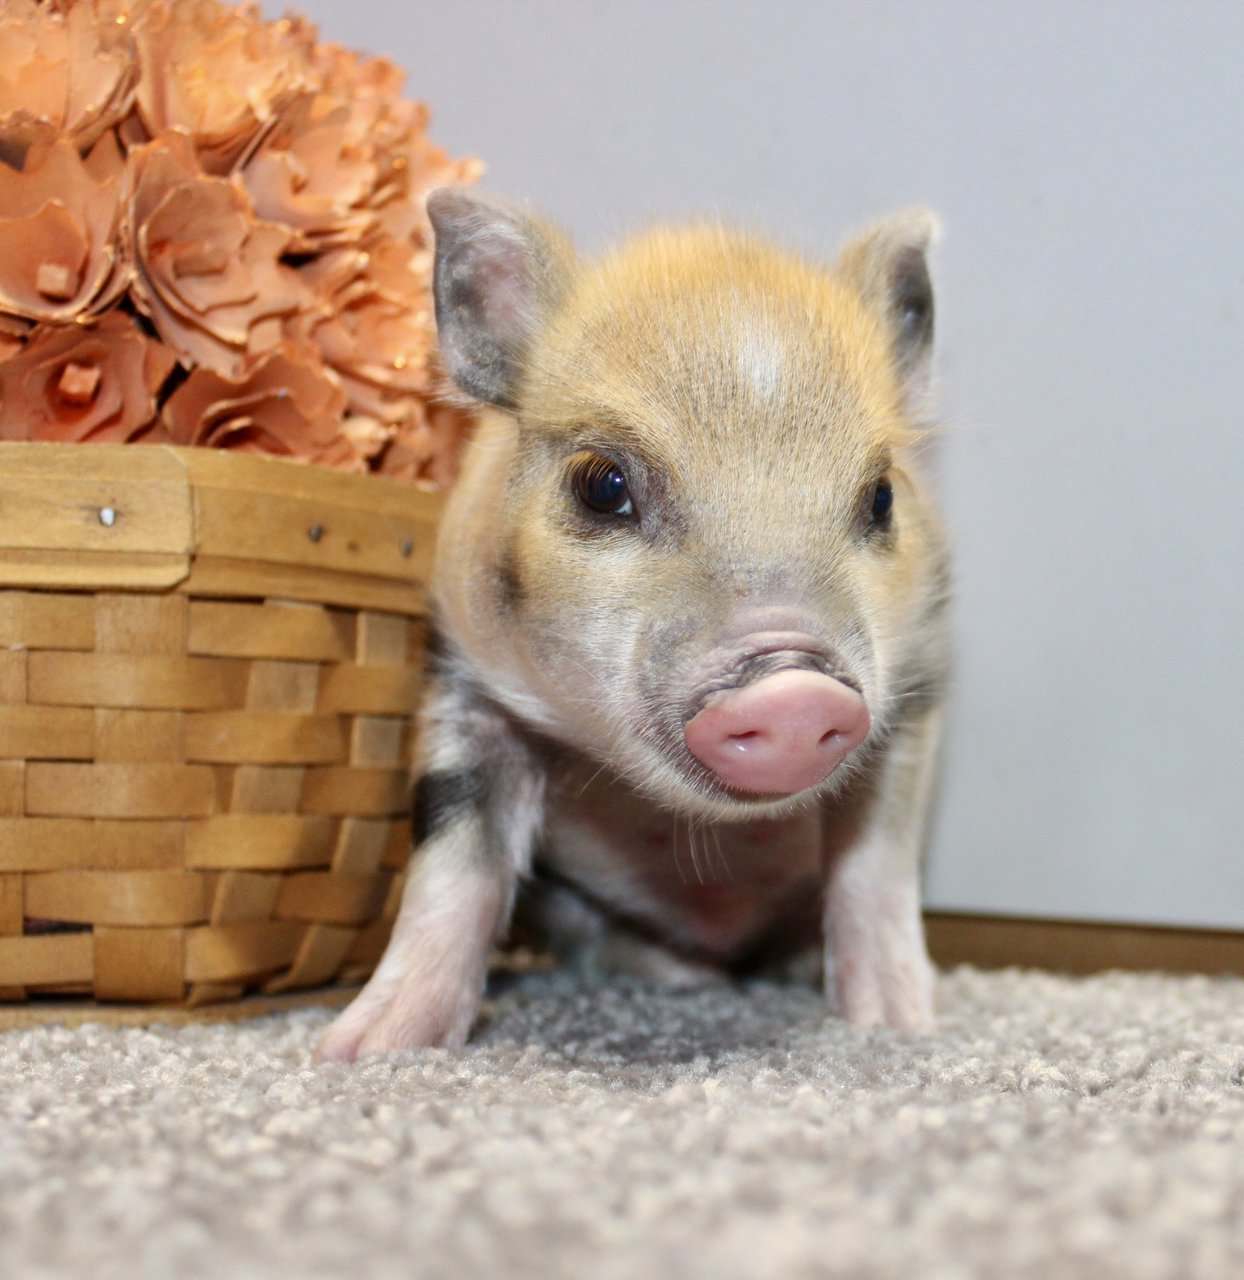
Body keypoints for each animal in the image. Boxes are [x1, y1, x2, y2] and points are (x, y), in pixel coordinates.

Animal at [316, 190, 951, 1060]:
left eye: (882, 497)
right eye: (602, 485)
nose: (794, 689)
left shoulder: (916, 689)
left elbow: (876, 866)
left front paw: (905, 1027)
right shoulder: (465, 679)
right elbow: (454, 862)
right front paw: (363, 1050)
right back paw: (680, 979)